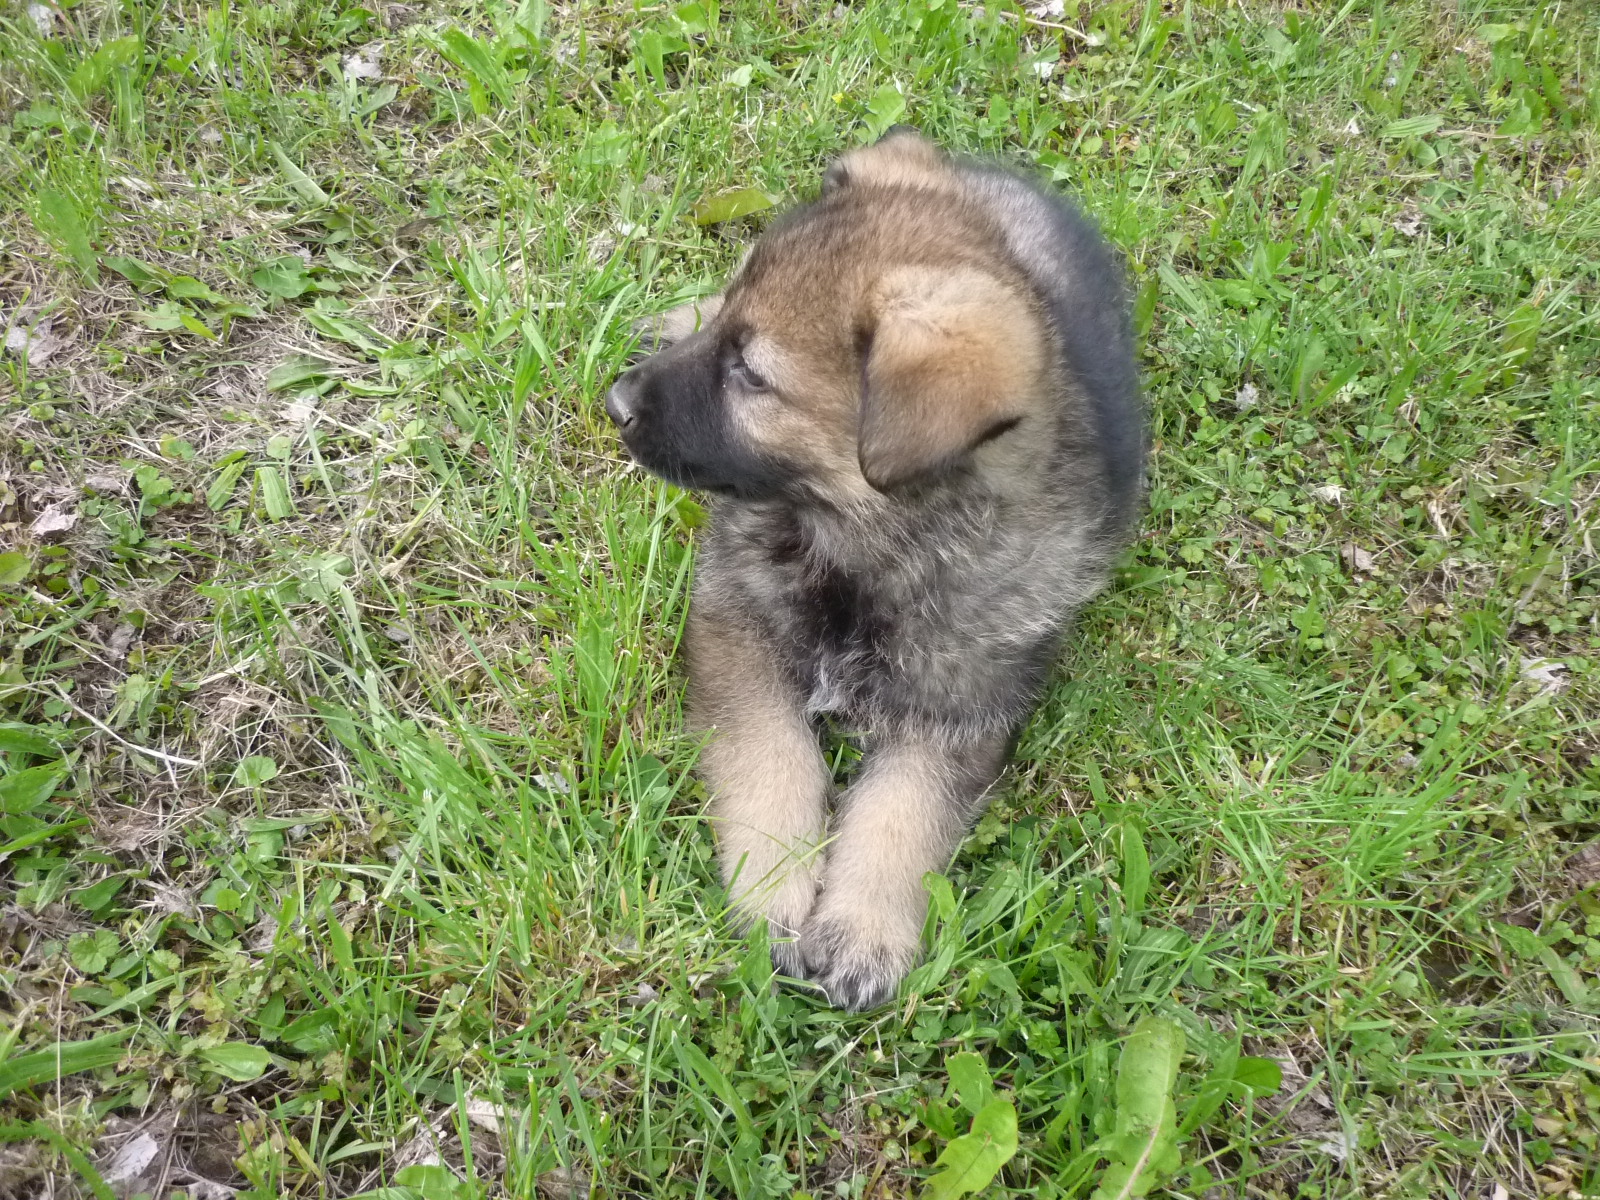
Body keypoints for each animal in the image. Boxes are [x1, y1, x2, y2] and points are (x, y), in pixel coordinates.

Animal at [605, 129, 1144, 1009]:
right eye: (730, 337)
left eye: (751, 375)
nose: (616, 403)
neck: (867, 544)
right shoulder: (738, 627)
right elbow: (771, 755)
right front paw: (775, 887)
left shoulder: (962, 707)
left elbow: (904, 811)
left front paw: (863, 928)